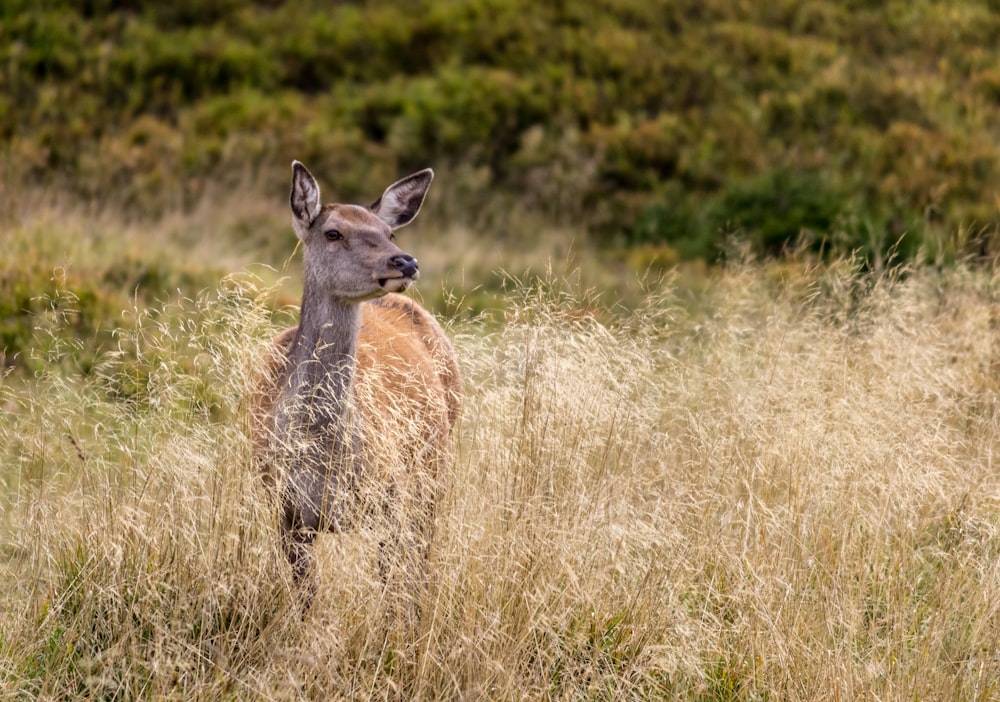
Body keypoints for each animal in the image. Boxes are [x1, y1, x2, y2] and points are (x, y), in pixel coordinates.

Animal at [254, 162, 464, 608]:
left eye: (389, 233)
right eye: (333, 232)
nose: (405, 261)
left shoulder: (390, 501)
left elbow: (391, 589)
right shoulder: (283, 510)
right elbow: (306, 600)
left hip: (432, 474)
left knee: (421, 563)